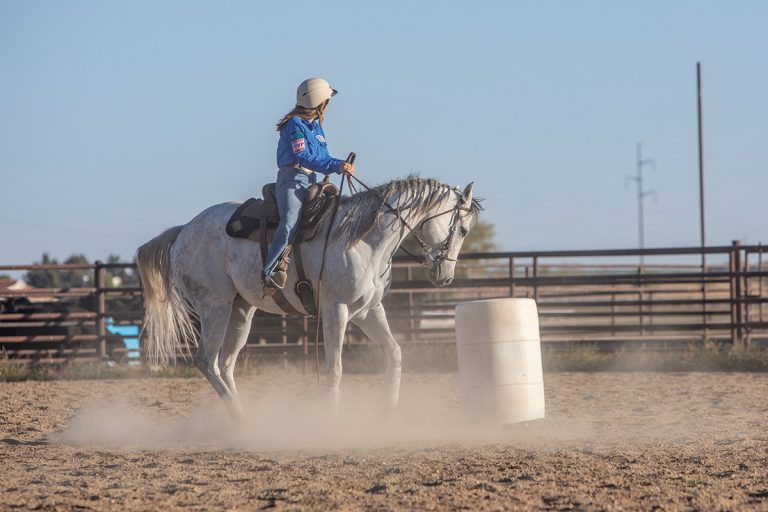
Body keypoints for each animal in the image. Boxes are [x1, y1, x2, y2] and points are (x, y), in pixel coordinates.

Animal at [135, 176, 476, 416]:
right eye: (463, 230)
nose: (444, 275)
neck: (364, 239)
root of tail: (183, 230)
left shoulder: (369, 310)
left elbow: (394, 352)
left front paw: (388, 408)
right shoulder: (336, 310)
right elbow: (335, 368)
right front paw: (332, 417)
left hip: (240, 311)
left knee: (225, 363)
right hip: (213, 307)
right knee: (206, 360)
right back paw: (239, 418)